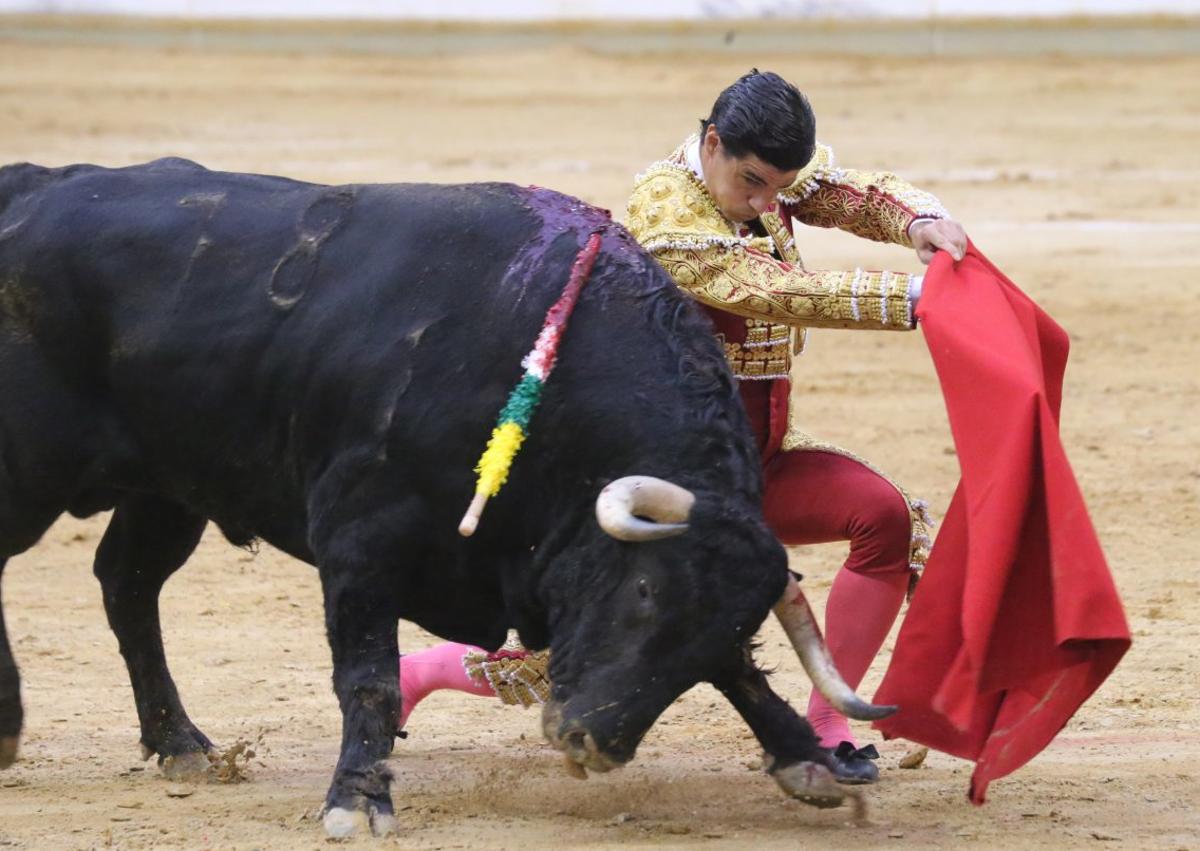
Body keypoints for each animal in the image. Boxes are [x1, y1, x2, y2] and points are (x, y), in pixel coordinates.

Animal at [0, 157, 864, 830]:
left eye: (721, 627)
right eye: (646, 591)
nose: (590, 739)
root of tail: (30, 185)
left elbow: (743, 673)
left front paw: (809, 757)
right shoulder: (358, 538)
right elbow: (369, 677)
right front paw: (356, 799)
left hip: (170, 484)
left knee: (128, 583)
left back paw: (181, 743)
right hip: (34, 472)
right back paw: (13, 724)